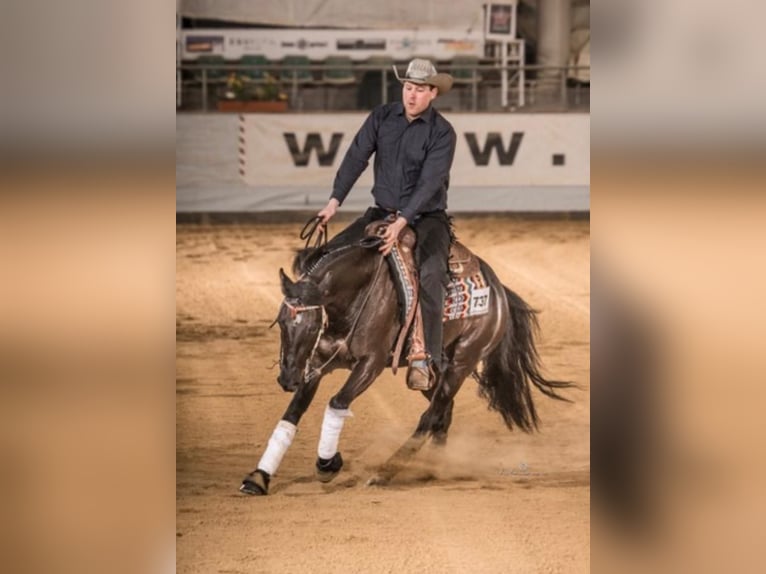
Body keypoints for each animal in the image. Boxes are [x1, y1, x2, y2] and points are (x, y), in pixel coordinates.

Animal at [243, 220, 572, 496]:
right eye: (281, 322)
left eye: (311, 325)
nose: (287, 378)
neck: (358, 294)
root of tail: (500, 291)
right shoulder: (317, 363)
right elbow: (292, 413)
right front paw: (259, 477)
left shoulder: (370, 364)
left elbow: (337, 402)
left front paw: (327, 465)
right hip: (430, 372)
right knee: (443, 413)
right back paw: (434, 467)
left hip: (462, 362)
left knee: (430, 417)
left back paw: (384, 473)